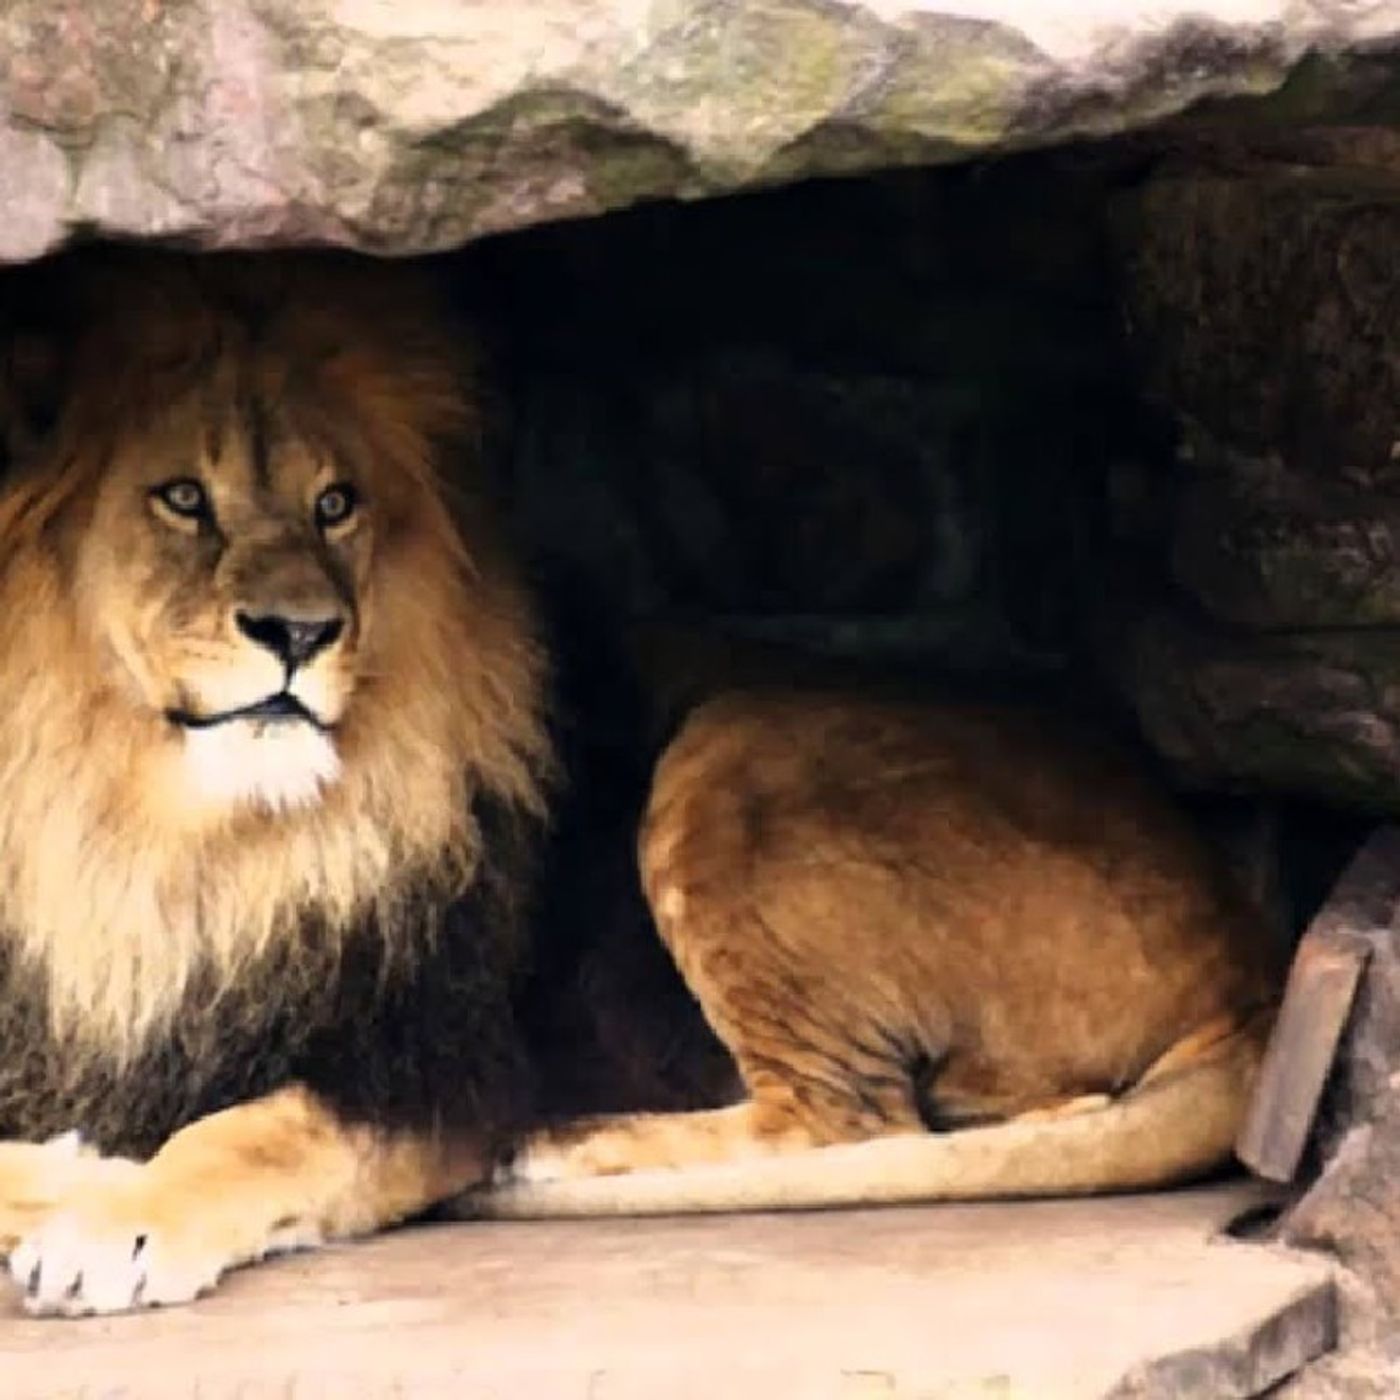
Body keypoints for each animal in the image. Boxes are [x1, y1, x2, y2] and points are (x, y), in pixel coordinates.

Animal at [0, 246, 550, 1315]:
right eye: (182, 498)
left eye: (335, 505)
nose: (298, 631)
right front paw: (77, 1173)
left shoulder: (429, 1069)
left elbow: (253, 1133)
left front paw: (114, 1219)